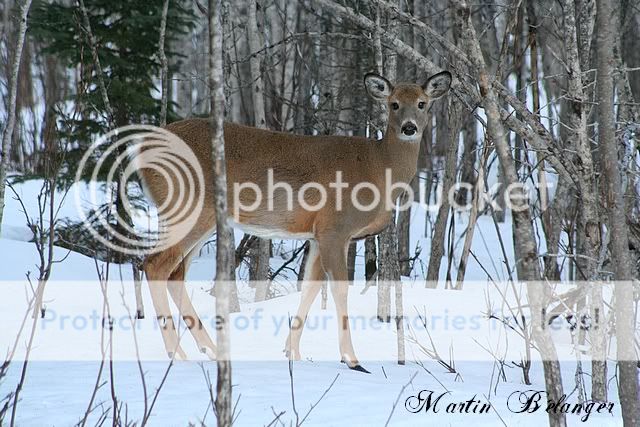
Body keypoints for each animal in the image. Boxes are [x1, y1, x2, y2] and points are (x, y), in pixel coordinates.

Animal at [141, 69, 450, 372]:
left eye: (422, 103)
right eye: (393, 104)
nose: (409, 128)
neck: (378, 168)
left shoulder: (317, 234)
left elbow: (310, 287)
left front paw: (293, 352)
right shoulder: (335, 228)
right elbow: (339, 289)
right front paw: (351, 359)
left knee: (175, 274)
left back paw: (209, 349)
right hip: (188, 207)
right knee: (156, 265)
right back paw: (177, 353)